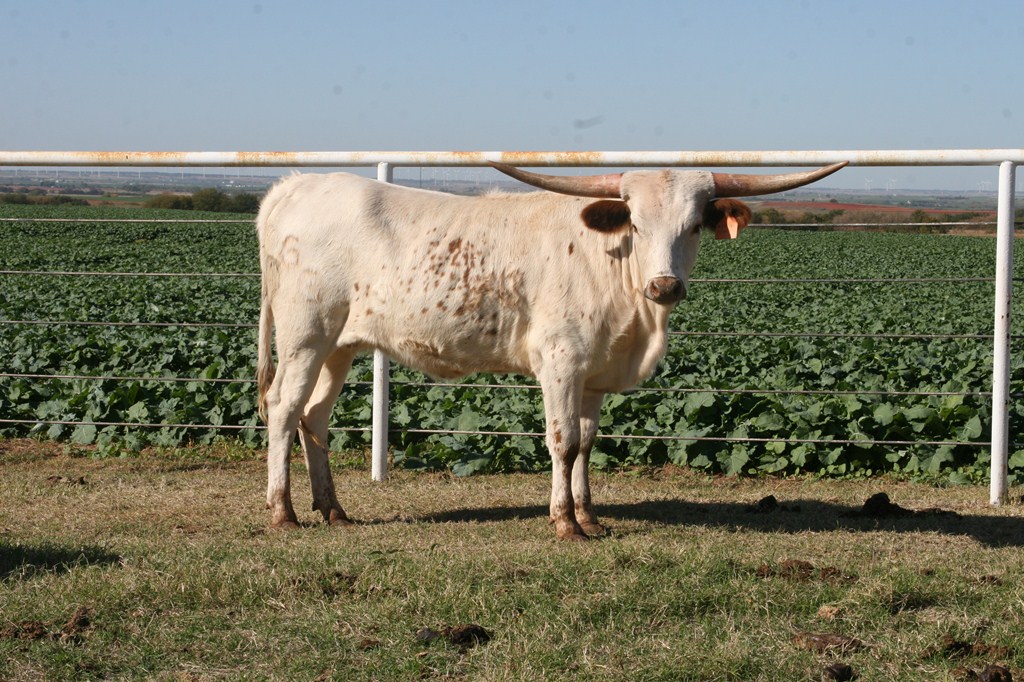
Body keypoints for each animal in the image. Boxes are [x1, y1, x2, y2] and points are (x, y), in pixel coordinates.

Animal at [256, 160, 846, 540]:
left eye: (695, 224)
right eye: (635, 222)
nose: (664, 286)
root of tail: (295, 186)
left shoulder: (595, 374)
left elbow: (586, 443)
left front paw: (589, 517)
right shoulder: (560, 363)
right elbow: (562, 442)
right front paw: (564, 523)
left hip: (340, 345)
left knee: (314, 416)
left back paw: (333, 510)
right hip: (304, 335)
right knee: (283, 408)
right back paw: (283, 512)